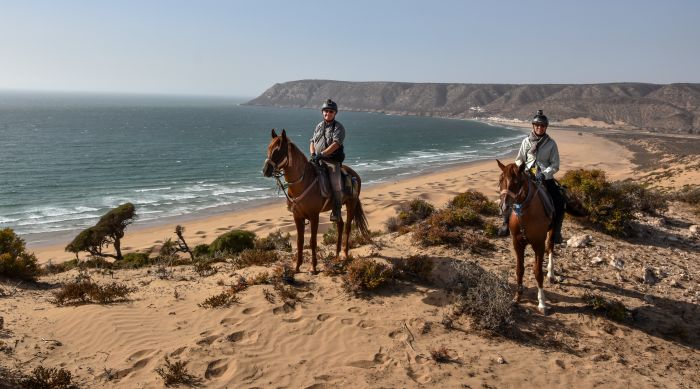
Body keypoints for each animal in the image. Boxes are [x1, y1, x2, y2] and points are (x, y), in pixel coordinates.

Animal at [262, 129, 372, 272]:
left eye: (278, 150)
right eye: (269, 148)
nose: (265, 170)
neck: (303, 182)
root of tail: (354, 174)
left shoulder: (314, 216)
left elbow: (313, 241)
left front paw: (313, 267)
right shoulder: (297, 216)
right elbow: (300, 241)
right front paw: (297, 267)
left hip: (351, 204)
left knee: (347, 227)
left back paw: (344, 254)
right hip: (336, 207)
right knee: (340, 225)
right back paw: (336, 255)